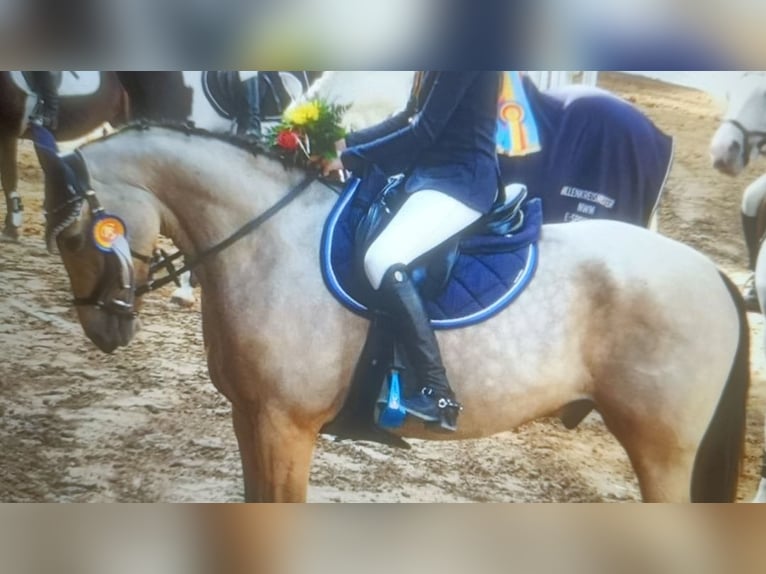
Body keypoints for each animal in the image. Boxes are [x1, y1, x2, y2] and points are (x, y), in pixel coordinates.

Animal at [36, 124, 752, 502]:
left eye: (73, 237)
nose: (103, 327)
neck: (267, 242)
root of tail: (713, 273)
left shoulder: (285, 428)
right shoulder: (251, 419)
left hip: (662, 453)